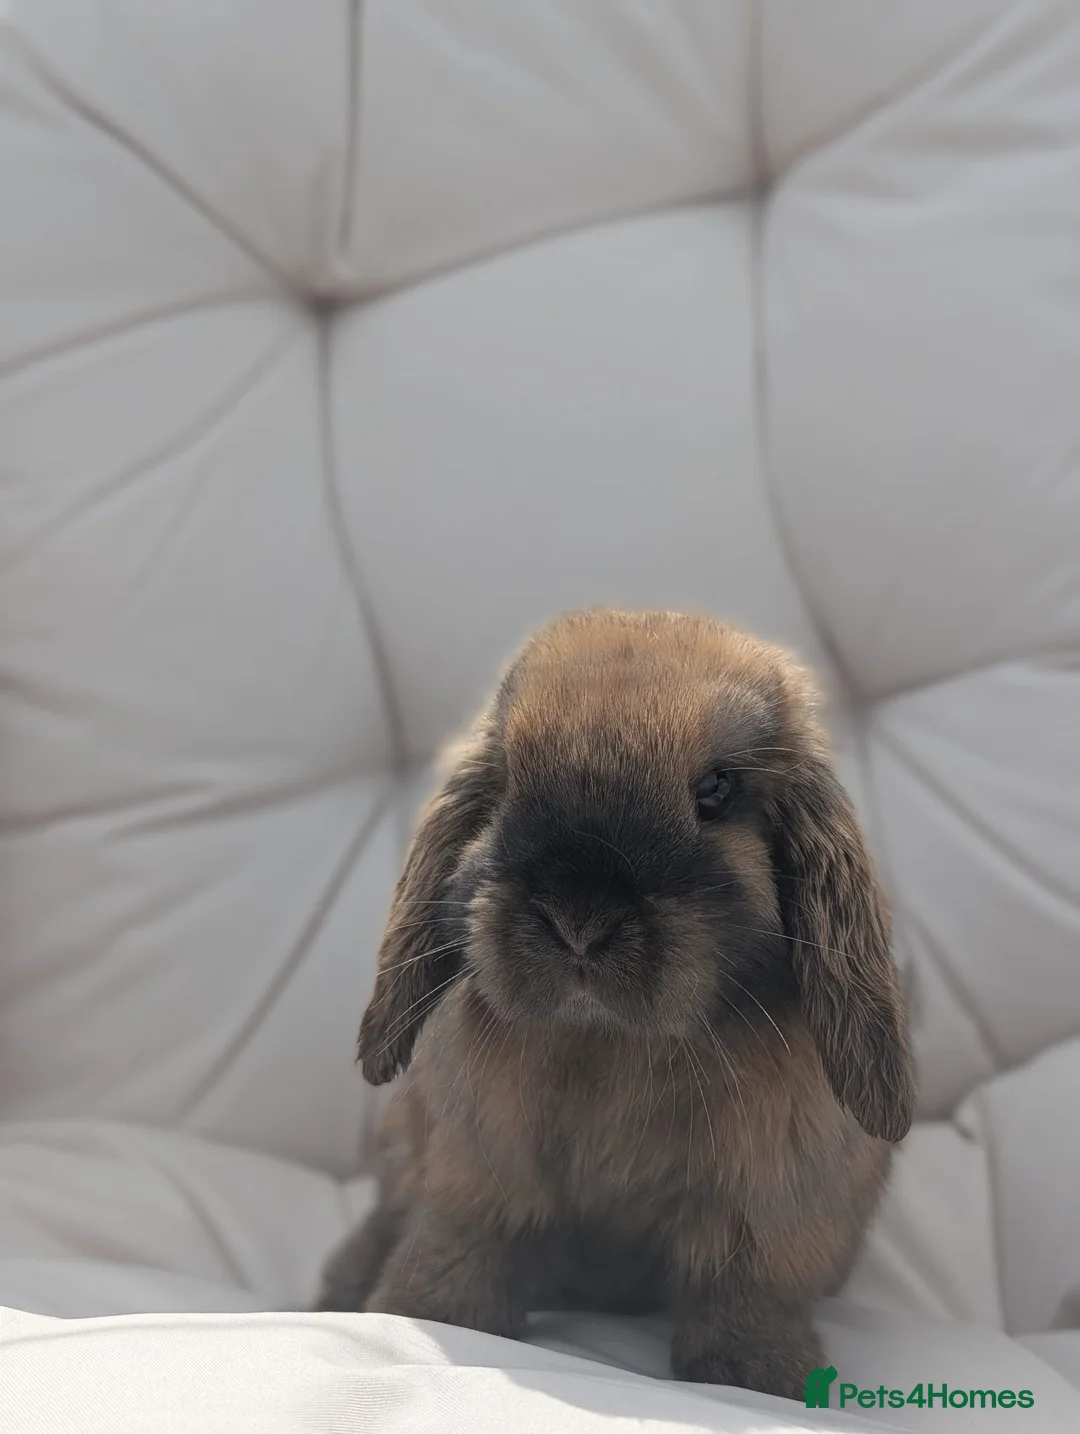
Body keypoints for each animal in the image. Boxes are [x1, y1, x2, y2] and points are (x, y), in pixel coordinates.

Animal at [317, 608, 915, 1401]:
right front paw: (422, 1316)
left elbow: (750, 1290)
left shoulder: (769, 1207)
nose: (580, 920)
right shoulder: (480, 1175)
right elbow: (463, 1249)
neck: (612, 1041)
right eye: (507, 782)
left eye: (717, 790)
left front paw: (763, 1378)